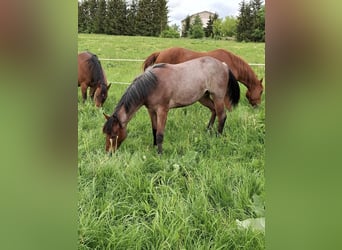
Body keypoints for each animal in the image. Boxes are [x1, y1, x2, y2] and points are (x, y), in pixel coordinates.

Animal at [103, 56, 239, 154]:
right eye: (106, 134)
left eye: (114, 135)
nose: (109, 153)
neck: (152, 84)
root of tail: (223, 65)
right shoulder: (151, 110)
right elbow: (154, 129)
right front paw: (154, 147)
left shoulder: (162, 110)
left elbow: (160, 134)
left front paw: (160, 153)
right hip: (203, 97)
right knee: (214, 111)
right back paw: (208, 131)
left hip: (218, 97)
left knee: (222, 116)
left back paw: (217, 136)